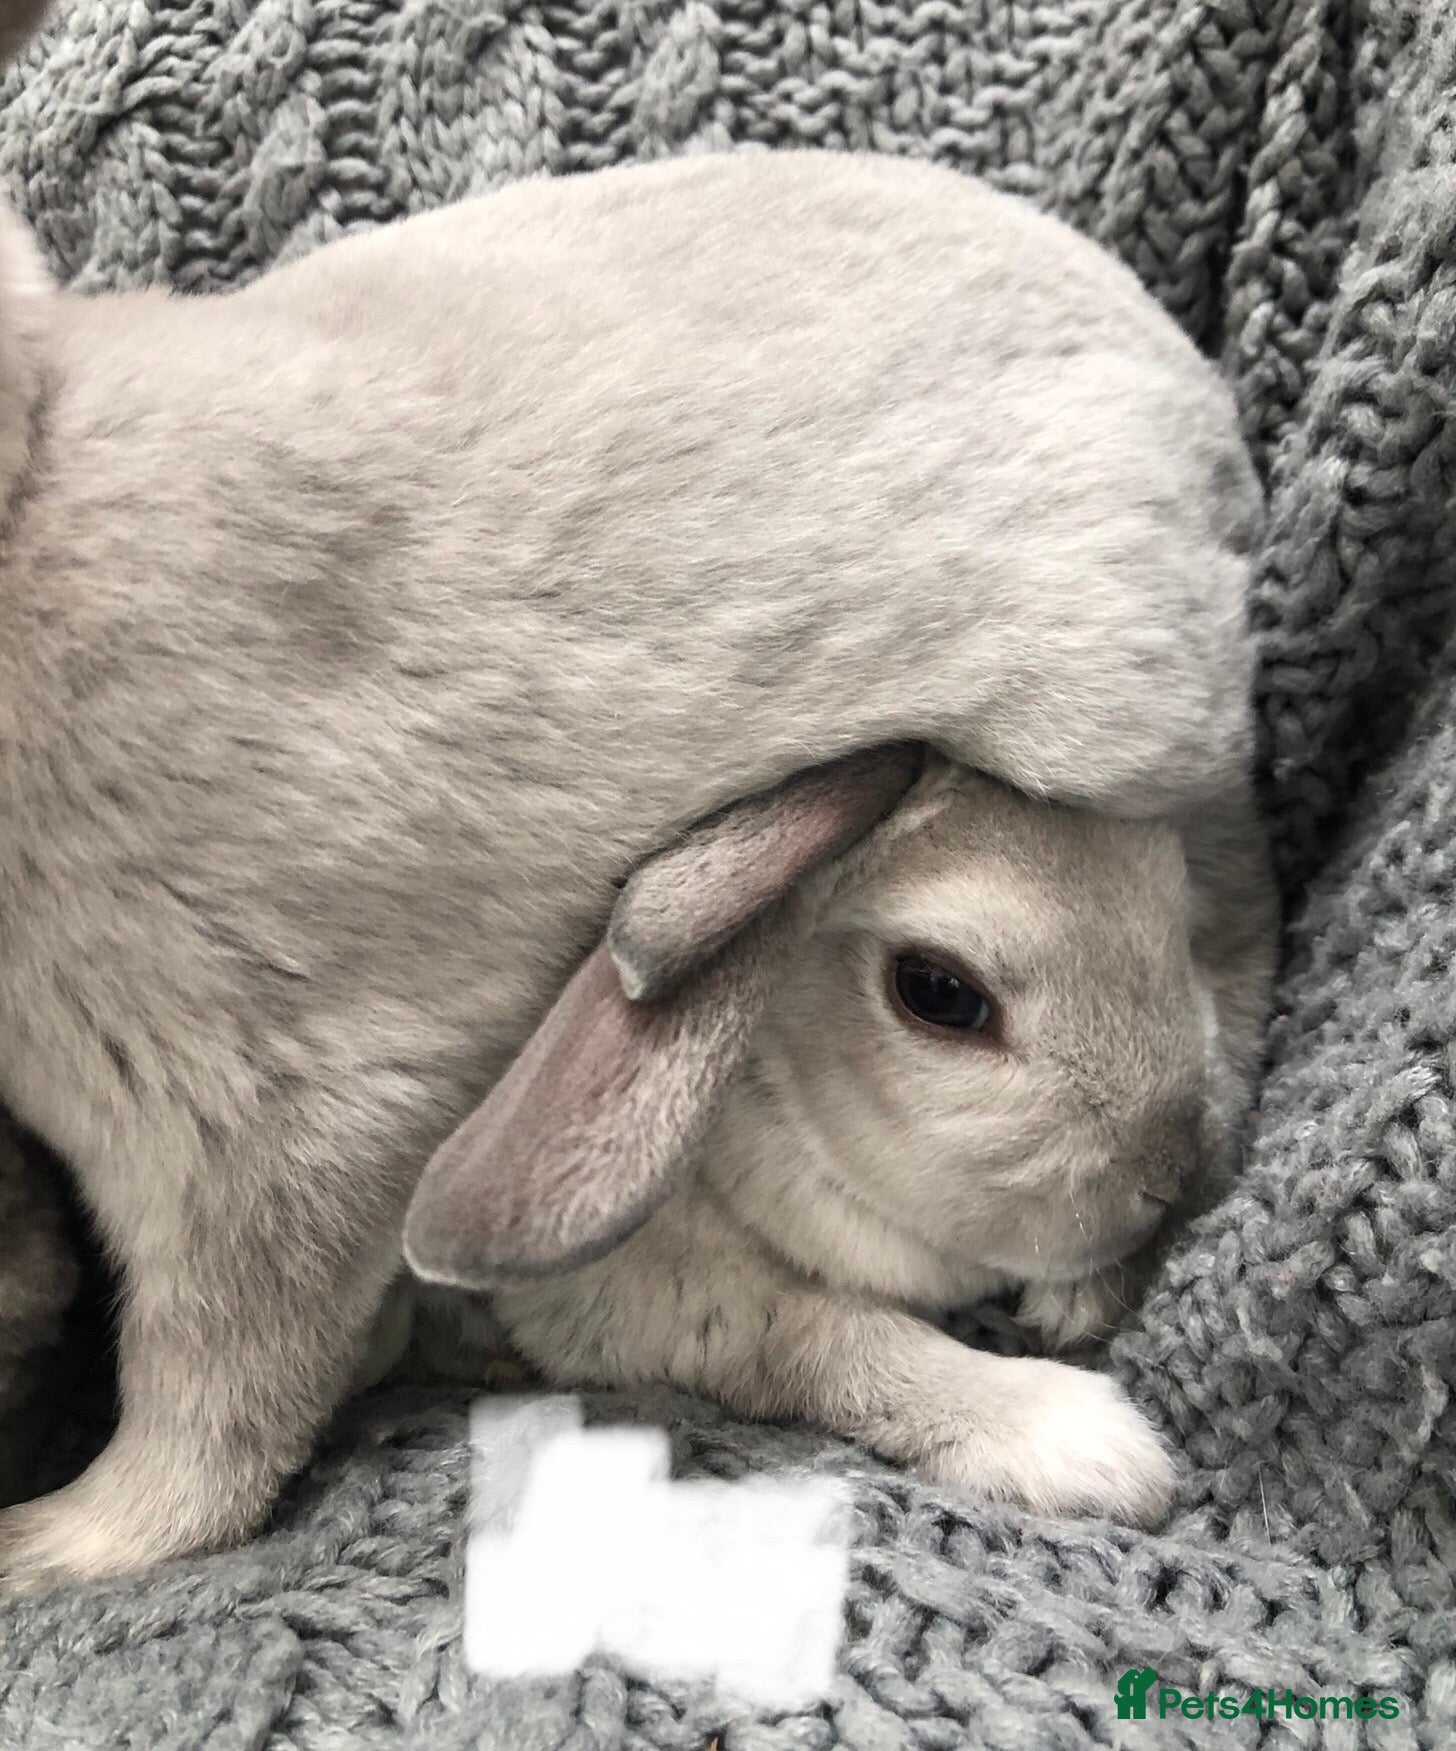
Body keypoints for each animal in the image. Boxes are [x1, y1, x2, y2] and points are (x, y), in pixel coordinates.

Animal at [0, 0, 1265, 1584]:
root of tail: (1191, 394)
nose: (1146, 1176)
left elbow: (215, 1400)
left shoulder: (273, 1110)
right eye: (939, 996)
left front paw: (55, 1543)